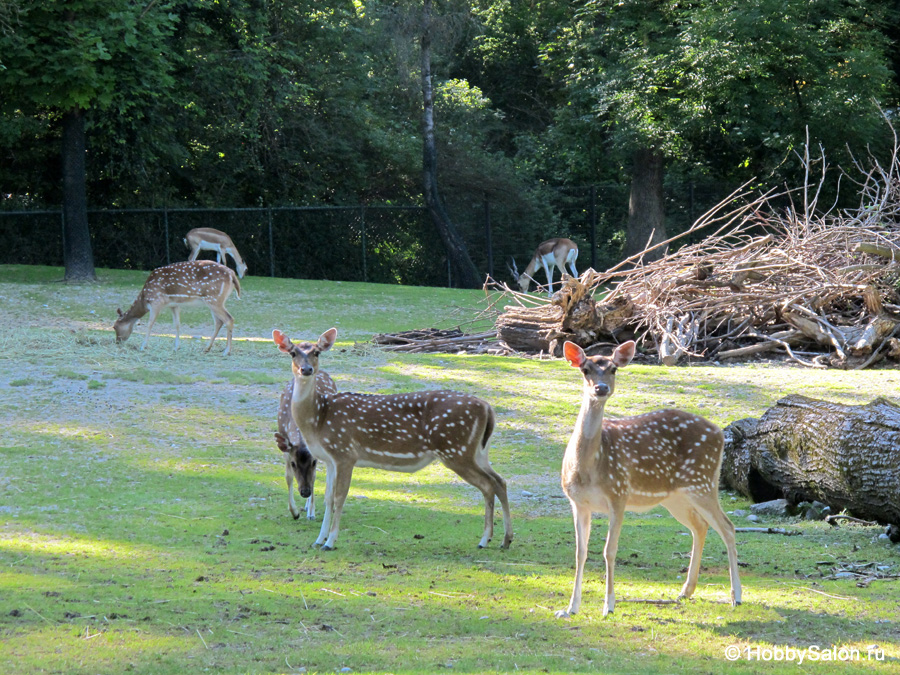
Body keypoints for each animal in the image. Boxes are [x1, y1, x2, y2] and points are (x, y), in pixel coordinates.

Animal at [274, 372, 338, 520]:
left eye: (313, 462)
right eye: (293, 463)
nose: (305, 492)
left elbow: (314, 478)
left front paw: (311, 512)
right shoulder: (286, 451)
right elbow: (288, 477)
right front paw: (294, 512)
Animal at [556, 340, 740, 620]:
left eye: (613, 369)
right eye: (585, 369)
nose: (601, 388)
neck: (588, 468)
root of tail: (720, 432)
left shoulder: (618, 494)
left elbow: (609, 550)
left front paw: (608, 606)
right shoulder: (578, 502)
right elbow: (580, 552)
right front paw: (570, 608)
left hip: (703, 481)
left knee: (728, 527)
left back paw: (736, 596)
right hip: (676, 496)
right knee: (700, 526)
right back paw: (685, 591)